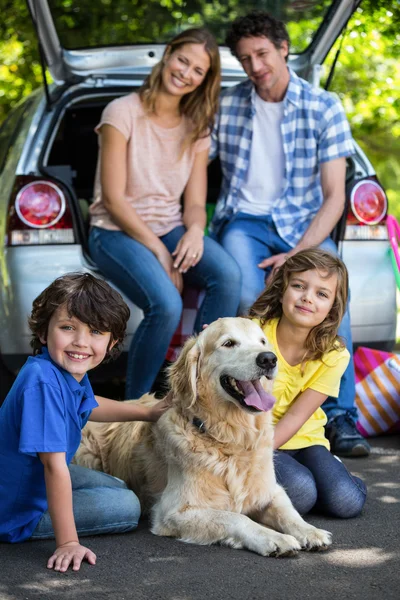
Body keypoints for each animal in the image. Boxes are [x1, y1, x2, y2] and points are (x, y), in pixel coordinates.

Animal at [75, 316, 332, 556]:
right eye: (229, 343)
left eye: (262, 342)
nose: (268, 359)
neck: (231, 438)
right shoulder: (175, 511)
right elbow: (236, 518)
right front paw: (273, 538)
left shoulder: (270, 490)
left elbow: (289, 512)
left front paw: (310, 531)